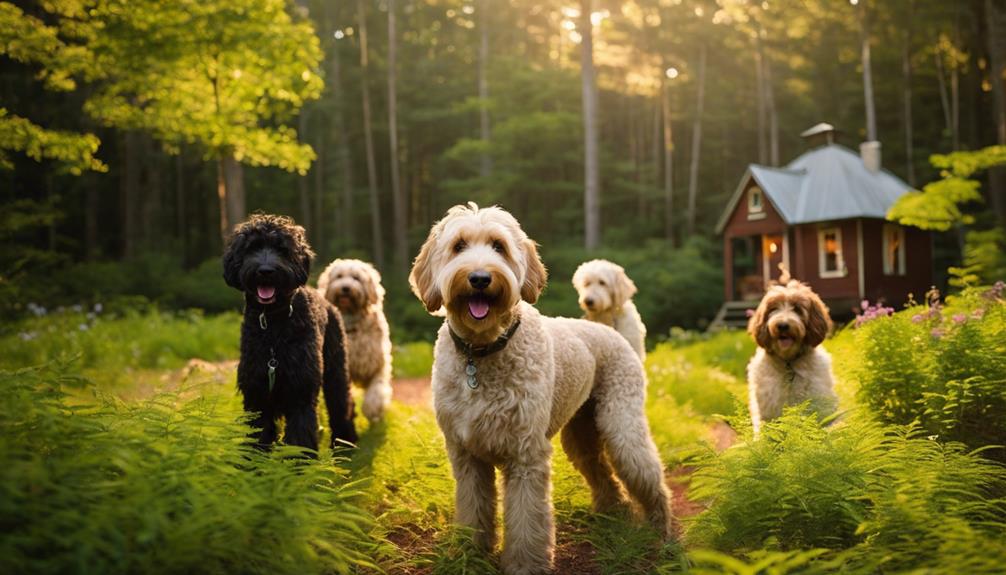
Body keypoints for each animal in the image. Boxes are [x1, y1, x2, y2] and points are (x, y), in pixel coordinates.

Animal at [223, 213, 358, 452]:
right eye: (252, 248)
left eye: (282, 249)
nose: (265, 271)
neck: (273, 325)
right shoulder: (256, 395)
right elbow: (257, 435)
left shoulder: (300, 392)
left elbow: (300, 437)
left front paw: (300, 461)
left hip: (336, 371)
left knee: (342, 404)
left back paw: (345, 442)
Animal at [317, 257, 392, 420]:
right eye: (339, 276)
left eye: (356, 278)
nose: (345, 288)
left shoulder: (377, 365)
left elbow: (377, 389)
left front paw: (372, 409)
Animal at [404, 203, 672, 575]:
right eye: (458, 246)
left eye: (499, 246)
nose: (480, 278)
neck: (482, 352)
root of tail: (613, 334)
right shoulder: (467, 455)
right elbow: (474, 510)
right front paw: (471, 555)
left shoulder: (526, 456)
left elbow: (526, 520)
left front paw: (524, 565)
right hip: (581, 434)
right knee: (602, 471)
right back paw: (613, 512)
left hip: (622, 427)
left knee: (649, 475)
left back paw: (660, 531)